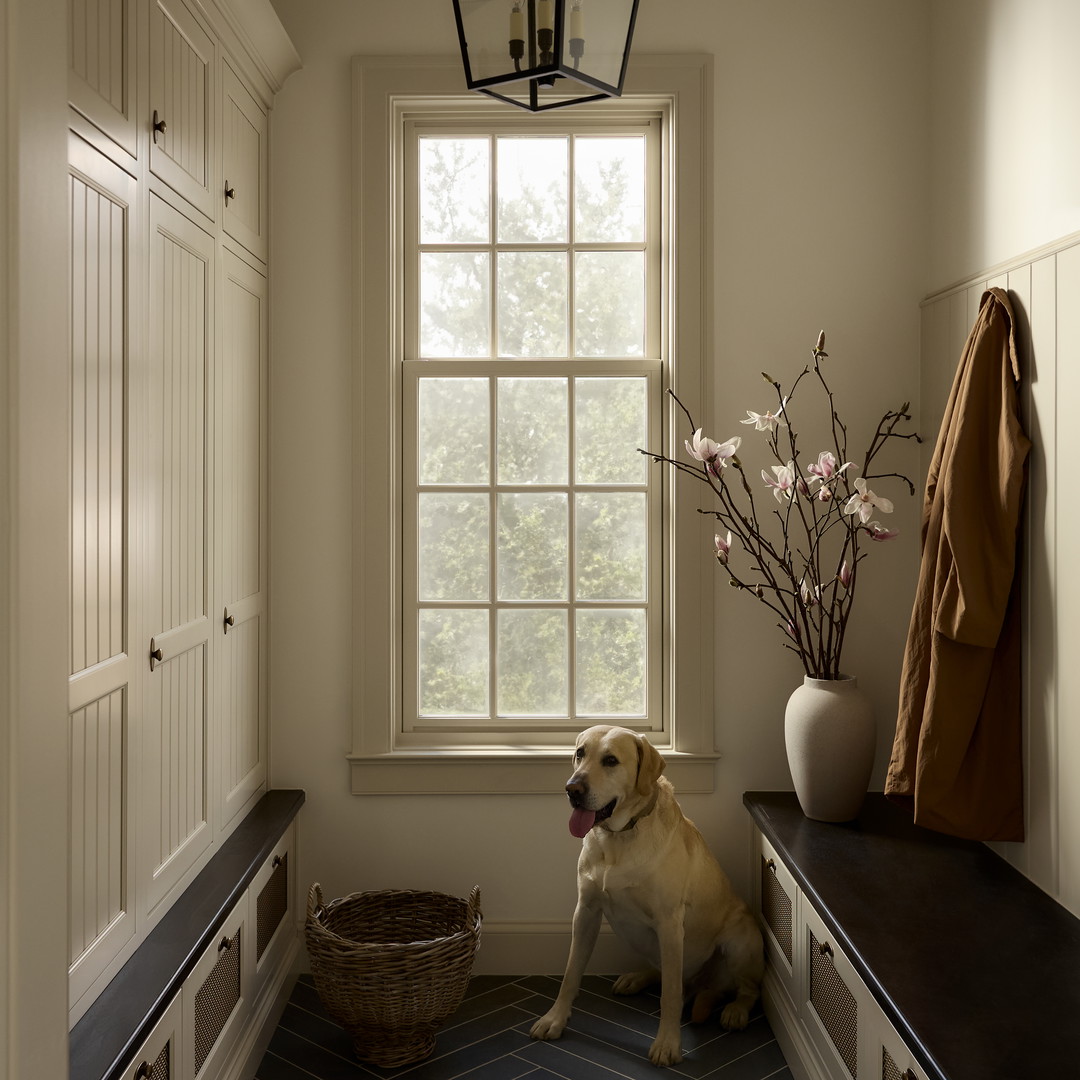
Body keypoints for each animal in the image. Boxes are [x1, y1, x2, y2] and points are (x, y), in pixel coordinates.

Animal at [529, 721, 764, 1067]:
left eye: (611, 761)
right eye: (580, 754)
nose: (572, 789)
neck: (619, 837)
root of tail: (705, 985)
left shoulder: (669, 923)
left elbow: (670, 996)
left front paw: (667, 1043)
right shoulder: (585, 911)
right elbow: (571, 973)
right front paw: (555, 1018)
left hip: (739, 940)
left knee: (745, 988)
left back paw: (735, 1011)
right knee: (667, 974)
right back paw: (637, 978)